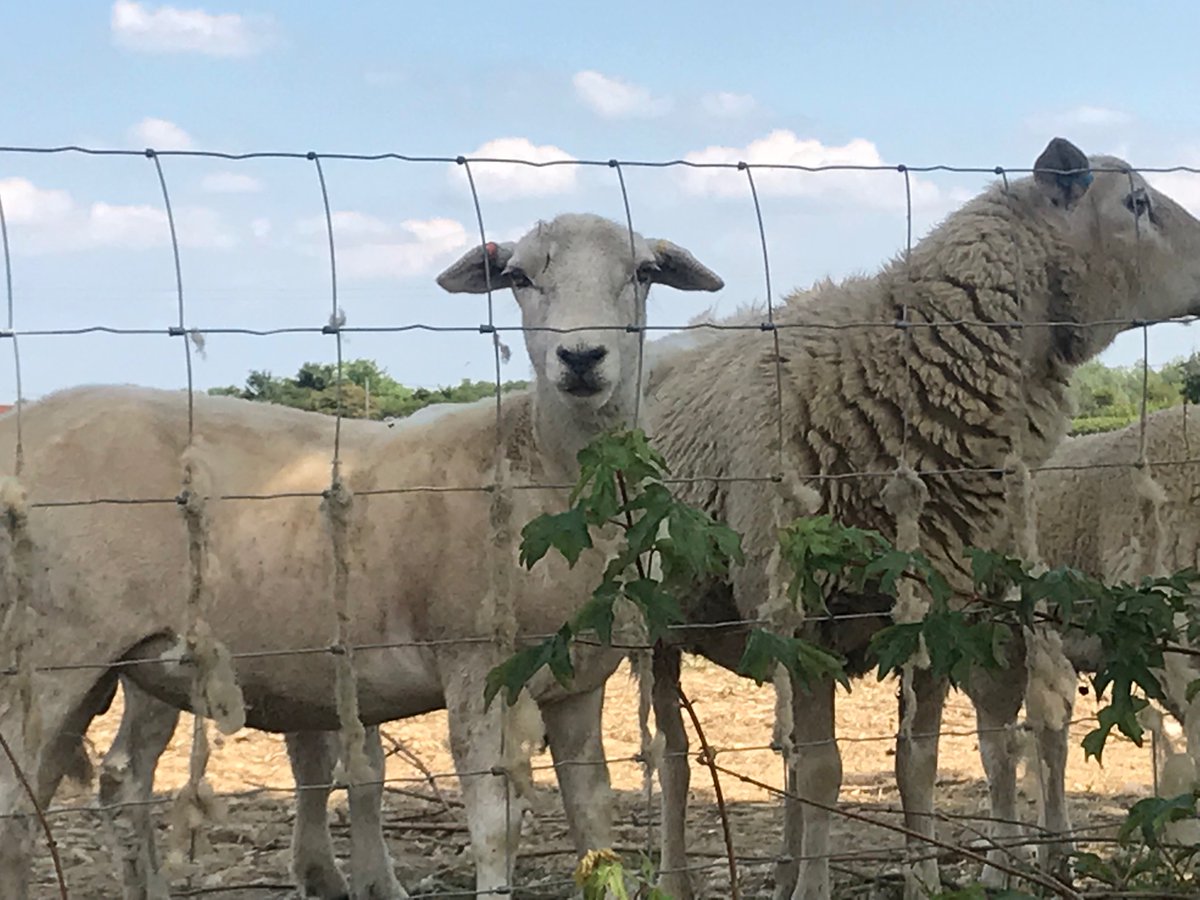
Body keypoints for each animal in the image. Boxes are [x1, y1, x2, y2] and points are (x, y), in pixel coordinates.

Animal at [0, 212, 724, 900]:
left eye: (645, 271)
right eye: (518, 276)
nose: (580, 357)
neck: (538, 464)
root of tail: (22, 425)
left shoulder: (579, 685)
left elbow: (591, 818)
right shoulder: (472, 664)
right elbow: (495, 823)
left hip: (123, 664)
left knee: (94, 783)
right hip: (55, 651)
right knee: (20, 802)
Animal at [635, 137, 1200, 900]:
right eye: (1136, 202)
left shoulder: (935, 613)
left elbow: (916, 764)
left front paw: (925, 878)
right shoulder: (807, 622)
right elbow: (825, 771)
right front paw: (816, 888)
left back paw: (782, 869)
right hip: (653, 619)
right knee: (674, 757)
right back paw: (678, 876)